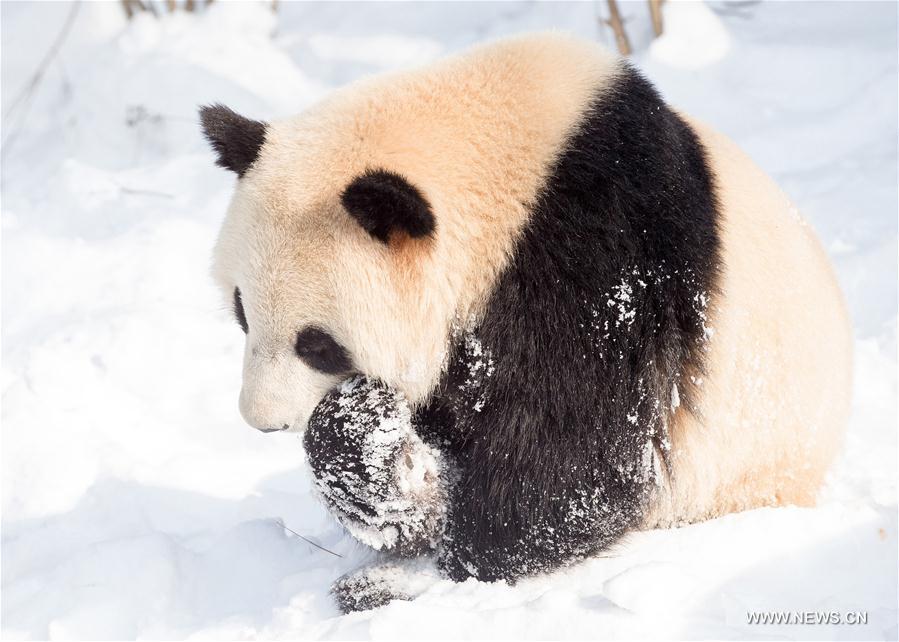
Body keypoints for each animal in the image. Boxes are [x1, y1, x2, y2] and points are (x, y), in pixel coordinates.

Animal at [202, 33, 852, 612]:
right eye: (242, 313)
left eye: (317, 344)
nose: (263, 421)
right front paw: (379, 456)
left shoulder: (600, 264)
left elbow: (575, 458)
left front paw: (439, 567)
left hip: (744, 465)